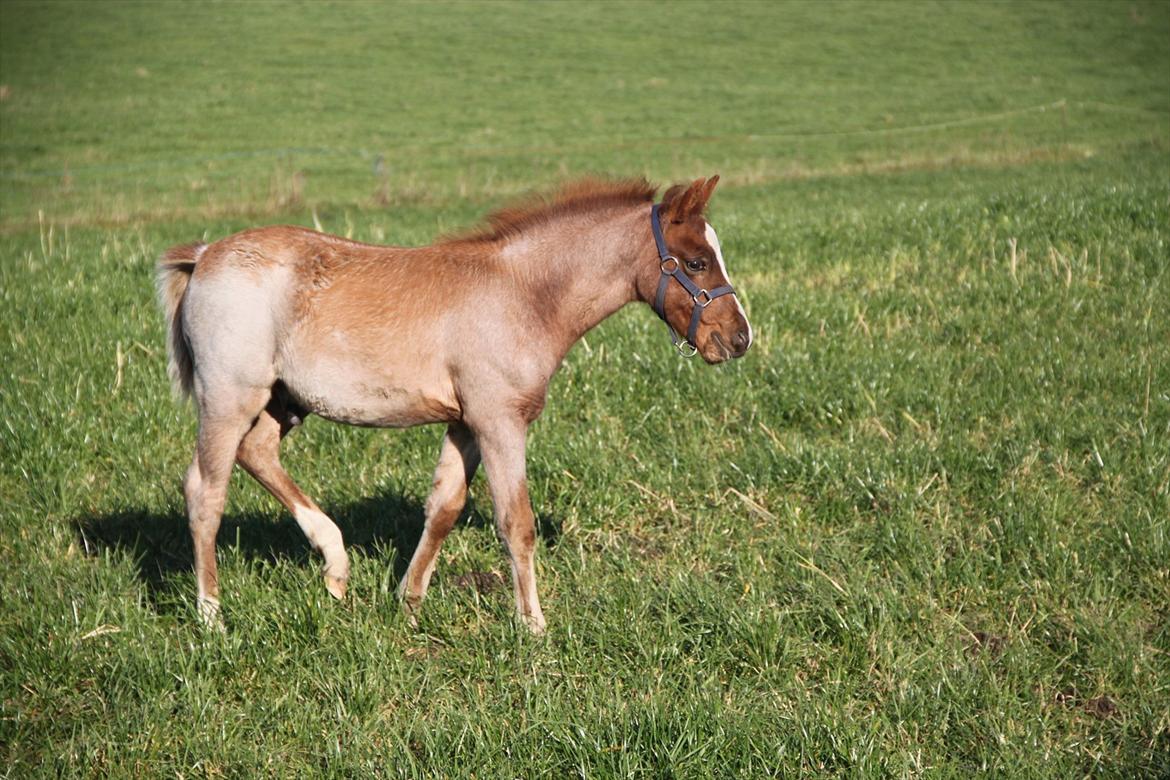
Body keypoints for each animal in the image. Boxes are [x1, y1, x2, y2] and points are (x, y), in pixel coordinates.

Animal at [157, 176, 748, 636]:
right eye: (696, 262)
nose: (739, 338)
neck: (522, 294)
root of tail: (204, 257)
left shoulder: (465, 424)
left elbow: (444, 507)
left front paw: (409, 604)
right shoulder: (500, 422)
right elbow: (516, 522)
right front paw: (533, 626)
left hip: (283, 401)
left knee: (257, 453)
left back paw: (336, 567)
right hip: (229, 397)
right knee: (205, 491)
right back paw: (211, 615)